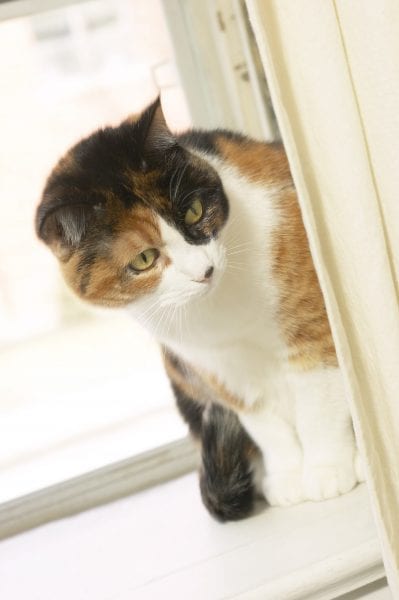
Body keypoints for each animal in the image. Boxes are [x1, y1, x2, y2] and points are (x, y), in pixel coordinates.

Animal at [36, 97, 364, 520]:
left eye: (193, 210)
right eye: (144, 259)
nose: (204, 271)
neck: (225, 312)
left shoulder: (313, 331)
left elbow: (318, 407)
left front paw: (326, 471)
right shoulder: (221, 371)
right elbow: (268, 428)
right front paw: (289, 478)